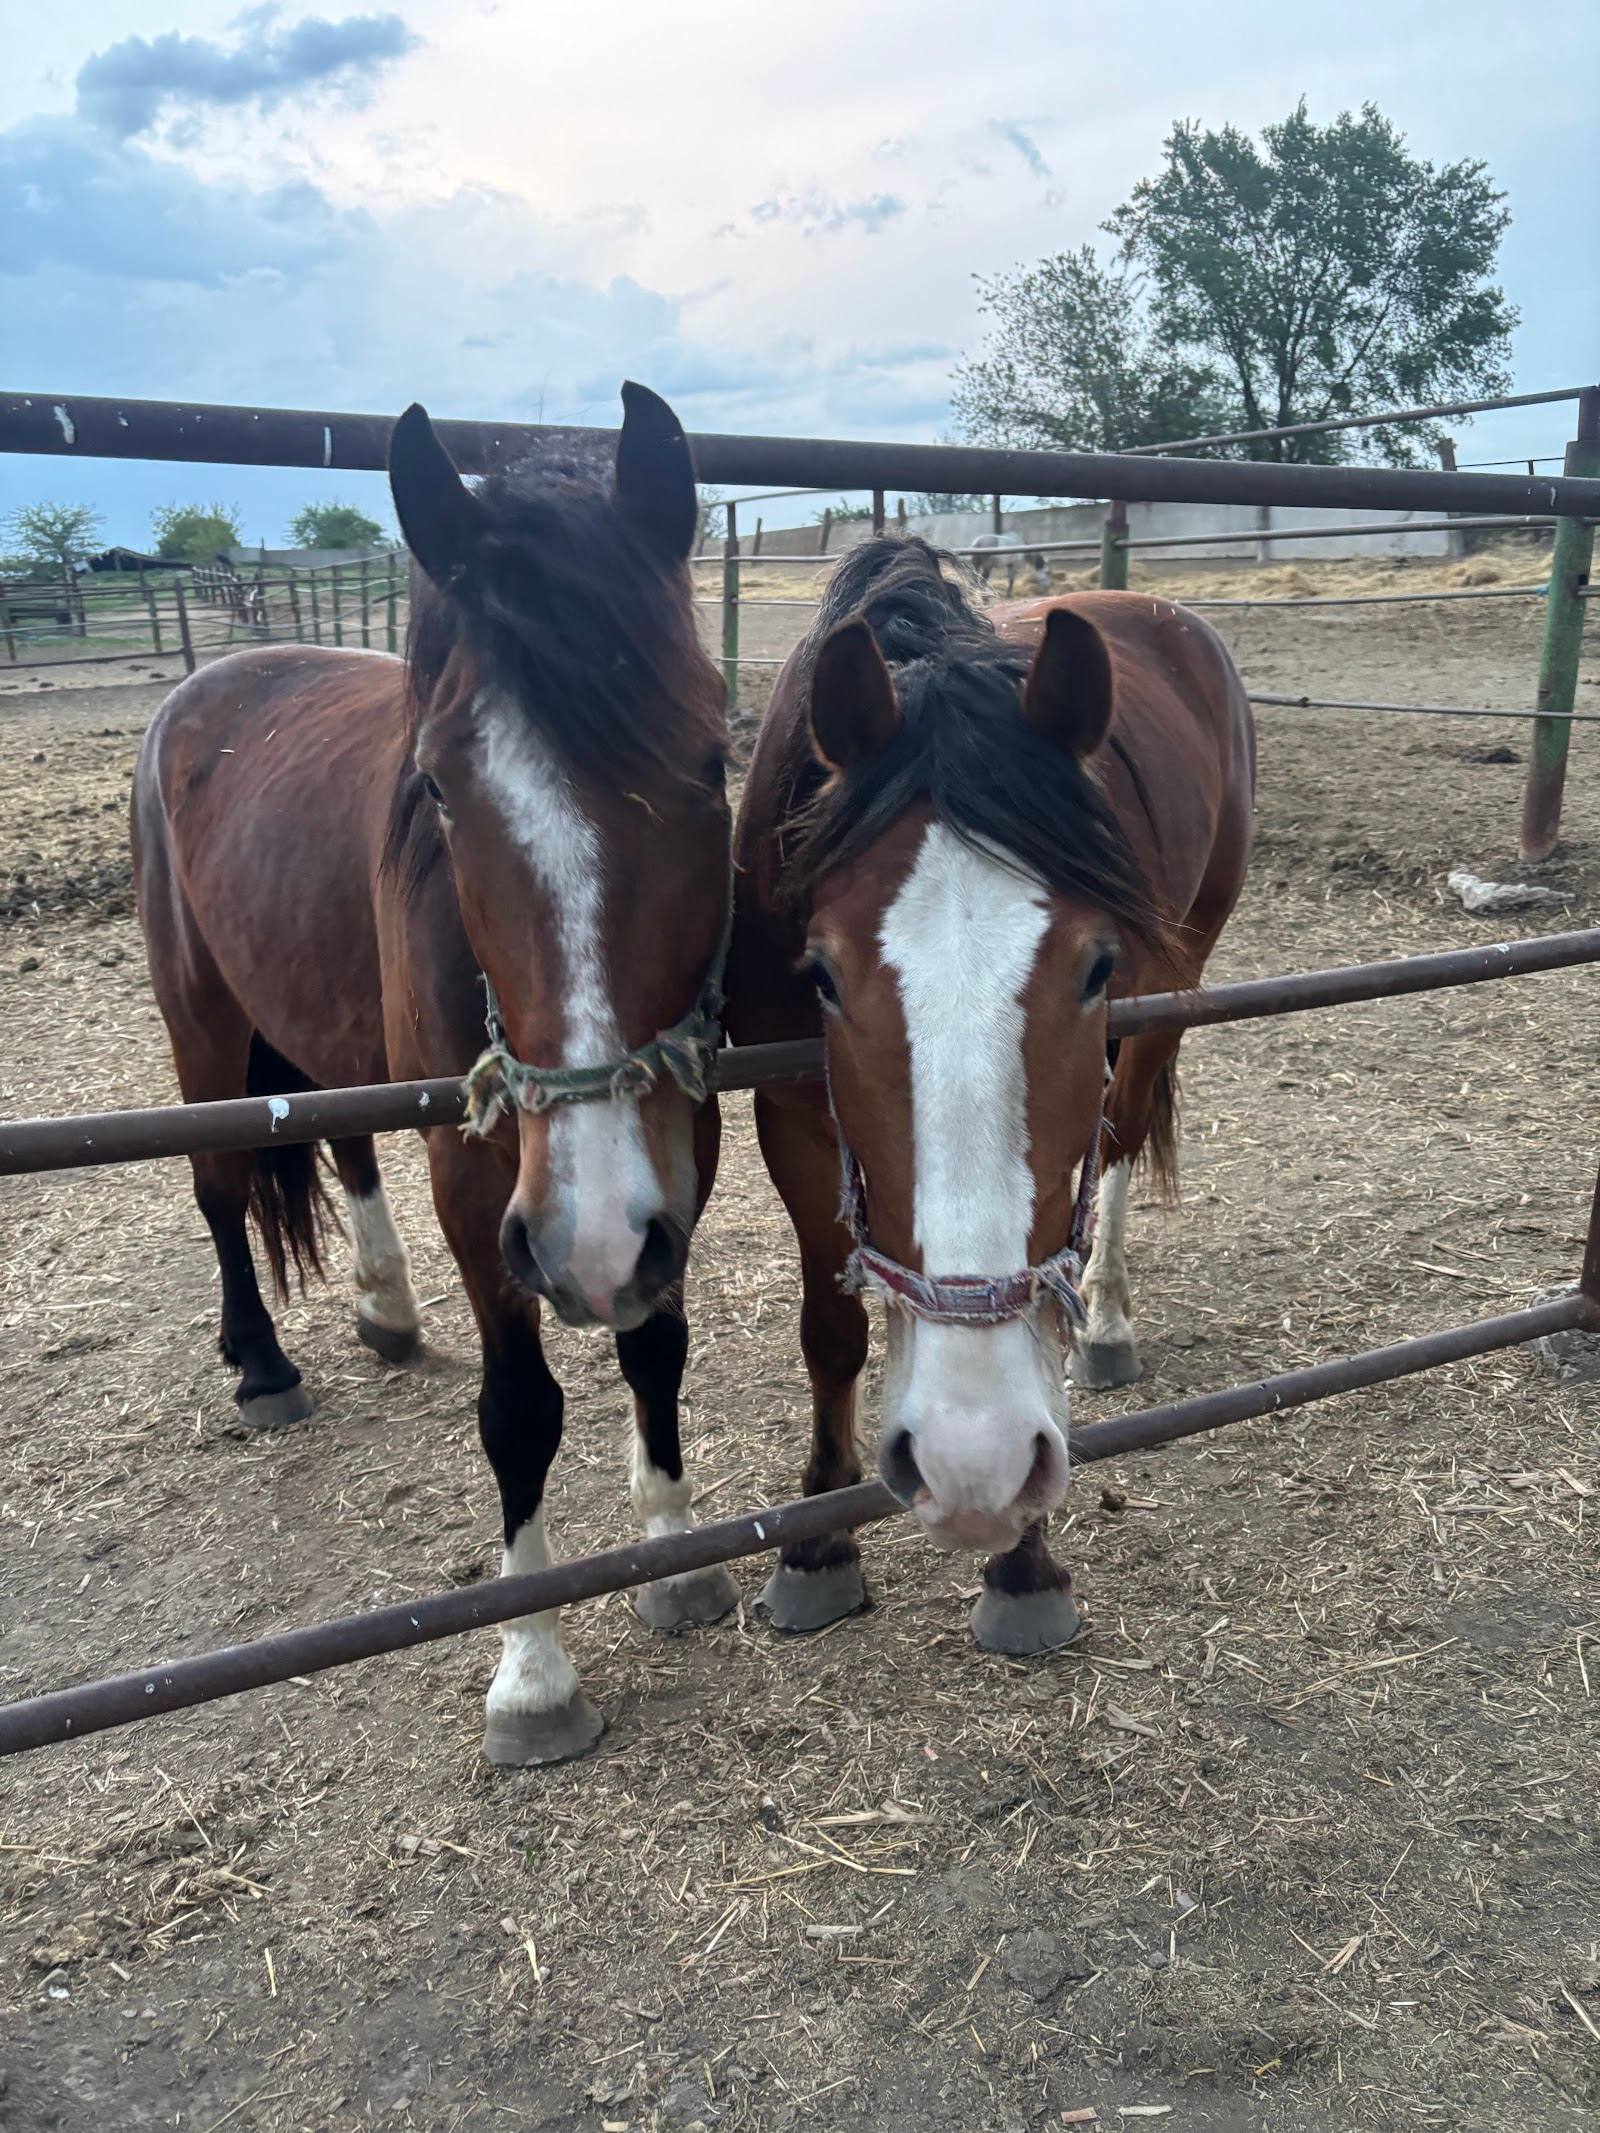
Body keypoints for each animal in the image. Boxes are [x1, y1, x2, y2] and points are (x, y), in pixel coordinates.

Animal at [132, 384, 734, 1766]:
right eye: (445, 791)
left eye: (711, 764)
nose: (588, 1247)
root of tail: (209, 683)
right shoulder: (478, 1182)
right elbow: (521, 1412)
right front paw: (533, 1673)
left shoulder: (678, 1154)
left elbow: (656, 1351)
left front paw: (674, 1561)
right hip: (204, 1030)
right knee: (221, 1185)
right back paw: (263, 1367)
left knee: (340, 1146)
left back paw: (386, 1310)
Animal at [727, 537, 1254, 1654]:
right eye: (821, 975)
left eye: (1095, 965)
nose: (972, 1464)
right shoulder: (788, 1114)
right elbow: (828, 1327)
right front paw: (816, 1546)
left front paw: (1023, 1563)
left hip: (1177, 983)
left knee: (1121, 1151)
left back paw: (1107, 1325)